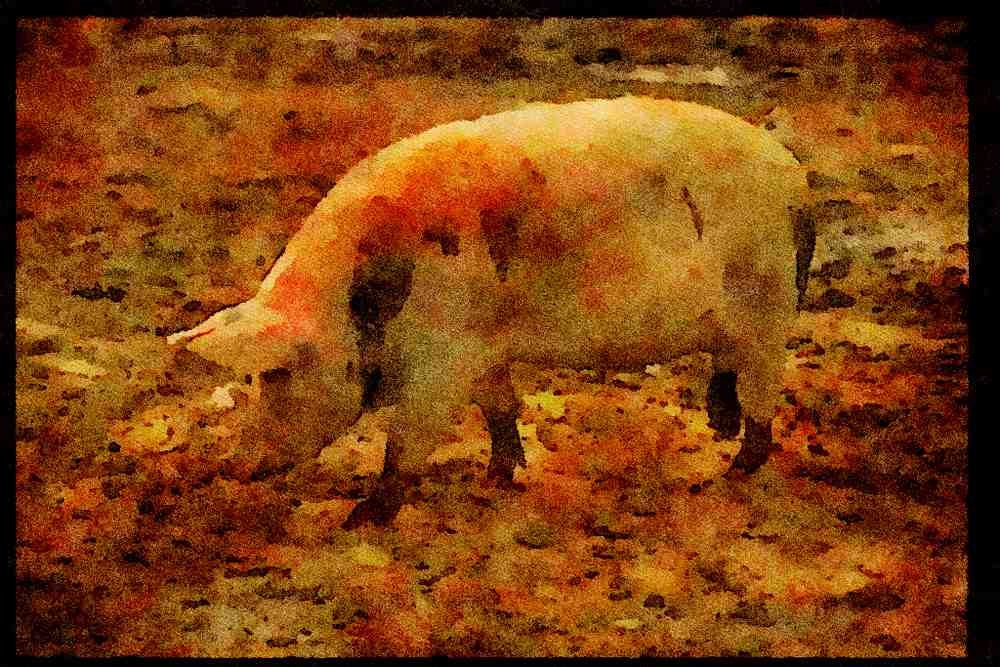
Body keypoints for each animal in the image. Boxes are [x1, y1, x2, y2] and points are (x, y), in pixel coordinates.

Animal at [168, 96, 815, 528]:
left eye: (274, 374)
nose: (233, 464)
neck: (357, 303)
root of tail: (791, 173)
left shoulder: (442, 358)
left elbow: (405, 443)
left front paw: (358, 521)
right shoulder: (482, 346)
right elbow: (499, 406)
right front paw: (498, 477)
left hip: (769, 302)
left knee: (762, 394)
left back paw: (730, 473)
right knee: (727, 369)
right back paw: (719, 428)